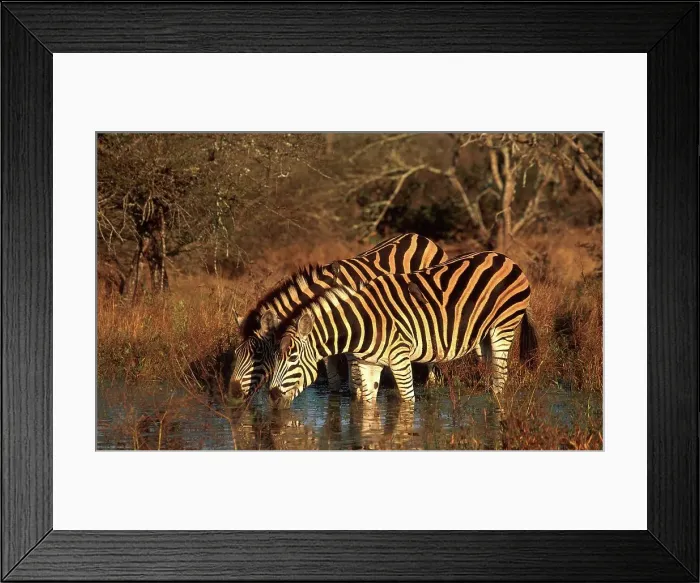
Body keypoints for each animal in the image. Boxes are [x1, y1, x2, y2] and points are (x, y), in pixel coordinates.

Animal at [230, 234, 448, 399]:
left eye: (258, 355)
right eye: (236, 354)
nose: (233, 393)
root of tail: (420, 237)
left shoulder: (353, 344)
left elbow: (355, 383)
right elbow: (334, 380)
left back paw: (432, 386)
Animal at [268, 251, 538, 405]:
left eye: (292, 359)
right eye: (274, 358)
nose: (271, 396)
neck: (363, 323)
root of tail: (505, 258)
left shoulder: (399, 358)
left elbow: (408, 403)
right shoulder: (367, 363)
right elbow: (367, 407)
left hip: (503, 327)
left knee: (501, 378)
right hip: (483, 335)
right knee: (491, 372)